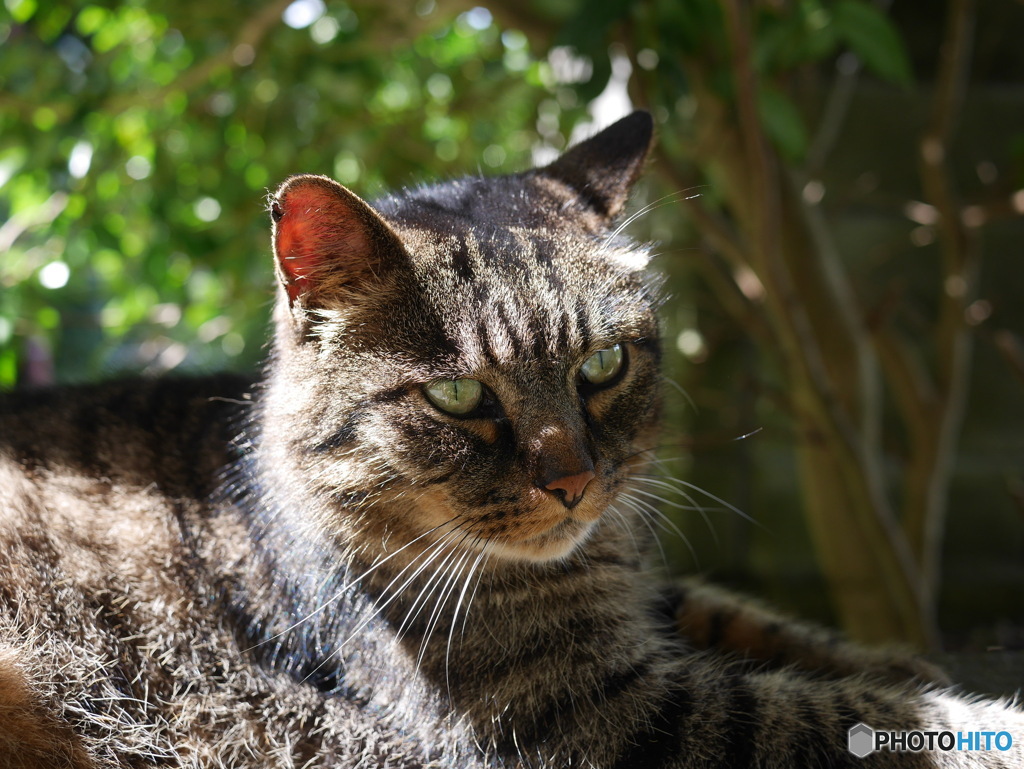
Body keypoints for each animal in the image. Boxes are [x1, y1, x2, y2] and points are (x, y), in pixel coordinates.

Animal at [2, 111, 1024, 765]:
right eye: (458, 395)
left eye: (603, 364)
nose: (572, 483)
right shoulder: (594, 714)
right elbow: (821, 717)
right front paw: (965, 710)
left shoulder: (645, 591)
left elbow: (768, 627)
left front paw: (900, 659)